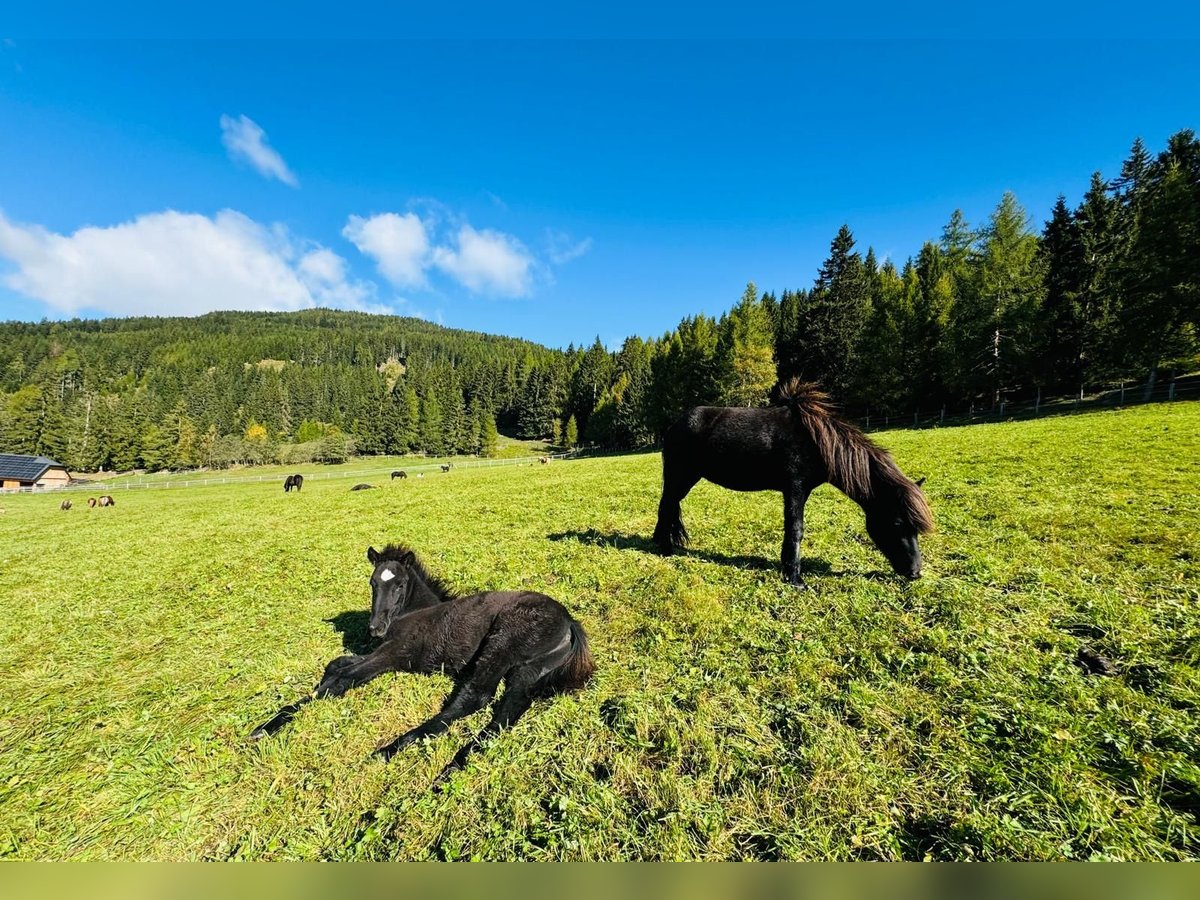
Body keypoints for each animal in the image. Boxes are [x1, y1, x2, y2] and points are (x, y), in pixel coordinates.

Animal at [249, 547, 595, 787]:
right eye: (372, 583)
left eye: (400, 584)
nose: (375, 629)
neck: (410, 615)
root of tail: (568, 621)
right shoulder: (381, 650)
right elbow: (336, 667)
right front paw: (267, 726)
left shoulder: (392, 655)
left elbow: (343, 679)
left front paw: (270, 725)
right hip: (526, 671)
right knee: (510, 708)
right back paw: (458, 760)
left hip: (501, 645)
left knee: (475, 697)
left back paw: (395, 750)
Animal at [652, 379, 931, 585]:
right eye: (897, 523)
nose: (915, 572)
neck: (817, 442)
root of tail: (675, 425)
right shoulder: (795, 489)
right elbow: (796, 529)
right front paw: (794, 577)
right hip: (680, 477)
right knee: (666, 506)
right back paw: (665, 548)